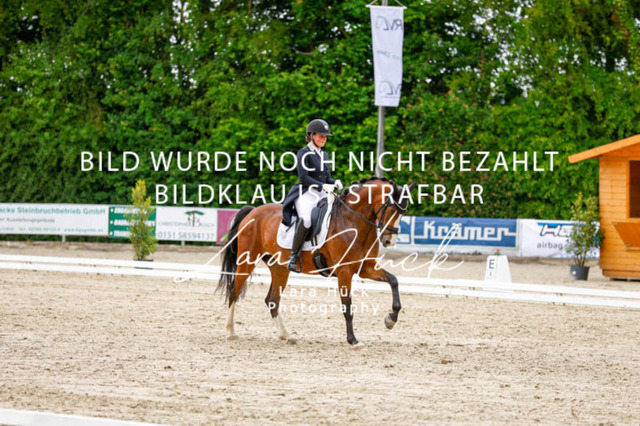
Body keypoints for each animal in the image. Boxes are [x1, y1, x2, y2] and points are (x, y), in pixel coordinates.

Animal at [216, 177, 416, 347]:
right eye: (392, 209)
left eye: (404, 212)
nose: (389, 241)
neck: (353, 222)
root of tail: (253, 211)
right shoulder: (344, 272)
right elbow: (348, 307)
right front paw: (353, 340)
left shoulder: (365, 267)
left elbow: (393, 280)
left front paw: (391, 319)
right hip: (247, 260)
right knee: (234, 291)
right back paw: (230, 332)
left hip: (279, 268)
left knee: (272, 300)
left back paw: (286, 336)